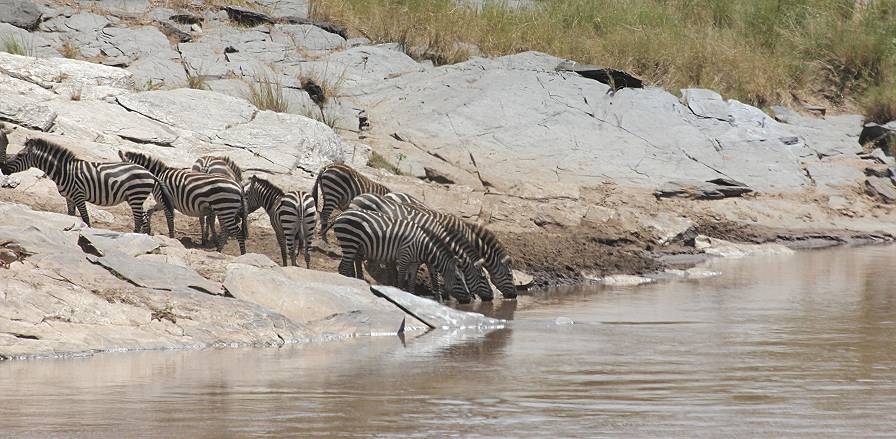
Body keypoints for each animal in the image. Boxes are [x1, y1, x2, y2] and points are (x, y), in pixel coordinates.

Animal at [0, 137, 170, 234]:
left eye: (20, 155)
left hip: (136, 196)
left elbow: (85, 218)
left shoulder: (78, 195)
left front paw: (85, 231)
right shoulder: (69, 198)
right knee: (143, 218)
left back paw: (135, 235)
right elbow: (70, 215)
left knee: (139, 218)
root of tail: (150, 173)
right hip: (135, 198)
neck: (64, 171)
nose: (3, 168)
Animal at [118, 151, 248, 254]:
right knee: (226, 230)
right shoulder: (161, 202)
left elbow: (169, 221)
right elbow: (149, 211)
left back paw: (242, 253)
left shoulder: (165, 201)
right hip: (224, 210)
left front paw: (171, 238)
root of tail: (239, 188)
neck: (157, 176)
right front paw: (148, 230)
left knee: (237, 232)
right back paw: (218, 250)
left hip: (224, 208)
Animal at [328, 210, 468, 302]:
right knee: (344, 267)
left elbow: (411, 282)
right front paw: (401, 295)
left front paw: (412, 295)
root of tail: (341, 214)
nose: (469, 298)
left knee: (346, 266)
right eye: (458, 279)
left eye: (463, 278)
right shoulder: (404, 256)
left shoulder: (414, 262)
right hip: (350, 242)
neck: (423, 247)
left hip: (354, 245)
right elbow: (401, 279)